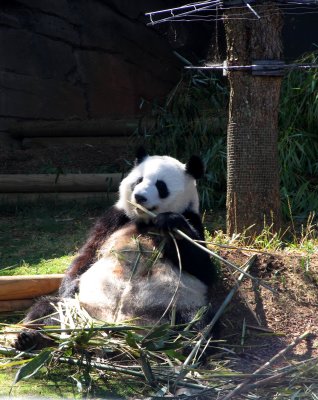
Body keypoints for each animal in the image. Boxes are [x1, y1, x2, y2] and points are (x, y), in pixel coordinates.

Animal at [14, 148, 219, 350]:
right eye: (139, 180)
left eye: (161, 186)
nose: (139, 197)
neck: (146, 221)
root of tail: (115, 325)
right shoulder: (116, 218)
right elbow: (87, 254)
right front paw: (70, 286)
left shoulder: (192, 218)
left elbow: (204, 269)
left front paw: (170, 221)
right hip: (83, 307)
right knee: (49, 308)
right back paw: (29, 338)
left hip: (176, 305)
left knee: (198, 322)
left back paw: (188, 347)